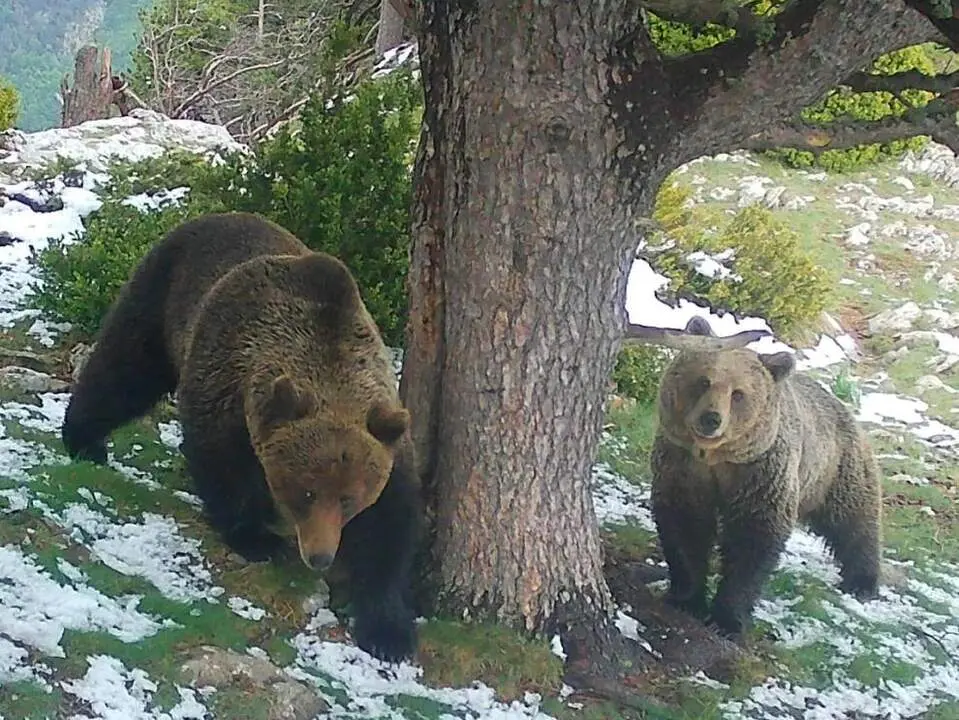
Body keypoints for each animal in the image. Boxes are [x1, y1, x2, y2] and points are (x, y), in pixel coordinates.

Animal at [61, 211, 422, 663]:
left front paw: (389, 630)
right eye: (306, 492)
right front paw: (258, 537)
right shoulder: (227, 375)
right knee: (125, 366)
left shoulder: (384, 436)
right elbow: (221, 462)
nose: (319, 556)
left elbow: (390, 528)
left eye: (348, 499)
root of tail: (214, 216)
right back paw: (83, 439)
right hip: (162, 291)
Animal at [649, 315, 882, 640]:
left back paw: (862, 582)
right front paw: (687, 598)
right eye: (704, 381)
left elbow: (754, 537)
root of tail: (844, 408)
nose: (711, 419)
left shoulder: (761, 473)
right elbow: (685, 525)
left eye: (738, 394)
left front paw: (726, 619)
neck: (715, 458)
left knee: (853, 522)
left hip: (835, 470)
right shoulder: (682, 467)